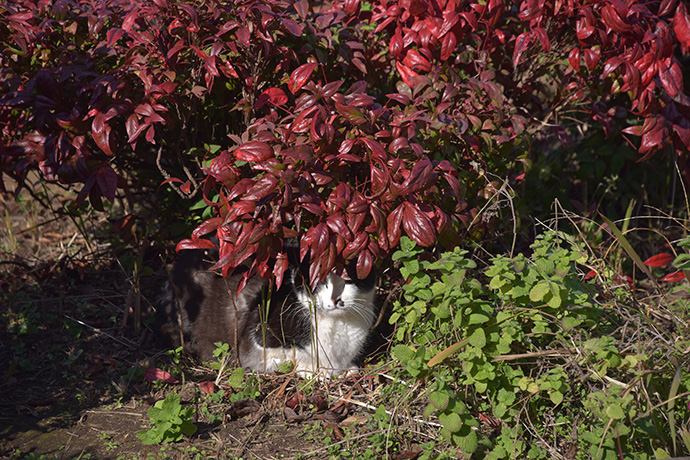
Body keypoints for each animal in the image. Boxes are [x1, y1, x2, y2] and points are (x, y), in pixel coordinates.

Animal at [157, 241, 376, 378]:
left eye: (348, 282)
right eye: (320, 281)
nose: (335, 299)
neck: (338, 324)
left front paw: (347, 369)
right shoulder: (259, 335)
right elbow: (289, 358)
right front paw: (315, 371)